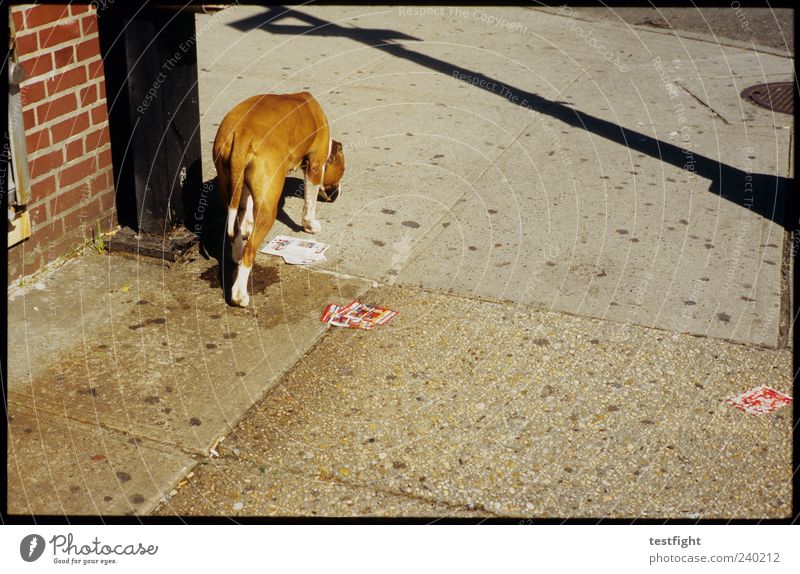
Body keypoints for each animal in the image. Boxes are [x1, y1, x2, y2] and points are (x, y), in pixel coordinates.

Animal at [214, 93, 346, 310]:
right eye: (342, 170)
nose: (338, 193)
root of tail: (241, 134)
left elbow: (246, 209)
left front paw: (247, 224)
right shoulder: (315, 166)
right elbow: (309, 201)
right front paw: (310, 225)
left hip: (229, 185)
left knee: (234, 230)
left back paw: (237, 251)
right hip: (269, 210)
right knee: (250, 252)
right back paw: (239, 295)